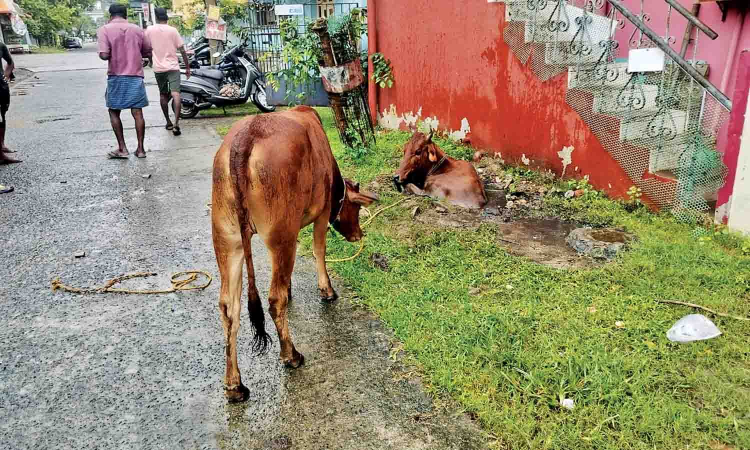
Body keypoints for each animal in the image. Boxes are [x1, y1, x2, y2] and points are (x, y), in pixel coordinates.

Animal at [211, 106, 379, 402]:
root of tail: (244, 138)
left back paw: (234, 386)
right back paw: (291, 355)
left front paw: (291, 288)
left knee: (229, 308)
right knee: (273, 299)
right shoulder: (321, 214)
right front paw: (327, 291)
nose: (358, 235)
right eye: (356, 208)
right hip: (280, 234)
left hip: (228, 240)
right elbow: (318, 250)